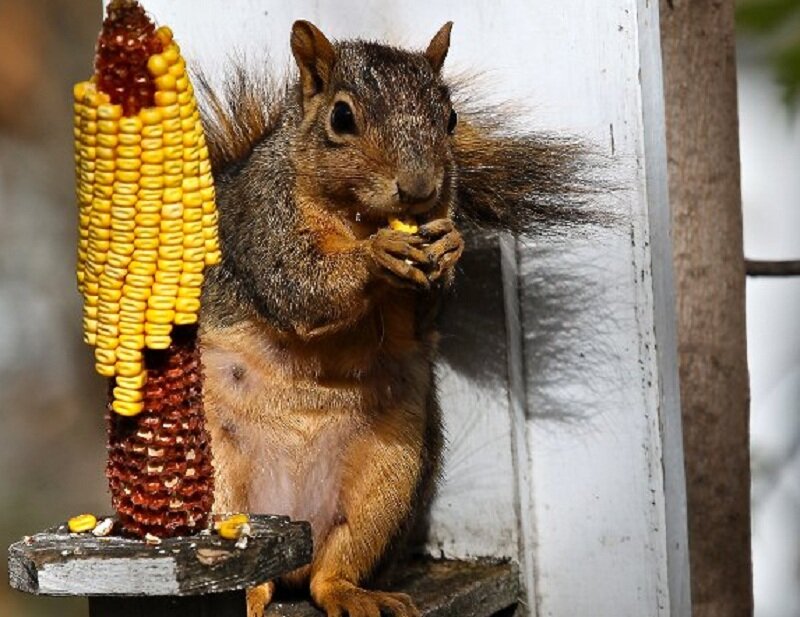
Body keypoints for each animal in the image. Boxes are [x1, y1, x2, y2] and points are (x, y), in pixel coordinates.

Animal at [197, 19, 593, 617]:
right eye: (341, 118)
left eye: (450, 117)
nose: (421, 188)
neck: (356, 216)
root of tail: (292, 538)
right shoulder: (260, 219)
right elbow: (297, 286)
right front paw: (374, 260)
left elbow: (421, 316)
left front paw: (448, 249)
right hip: (215, 475)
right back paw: (247, 594)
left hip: (390, 470)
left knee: (332, 568)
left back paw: (351, 592)